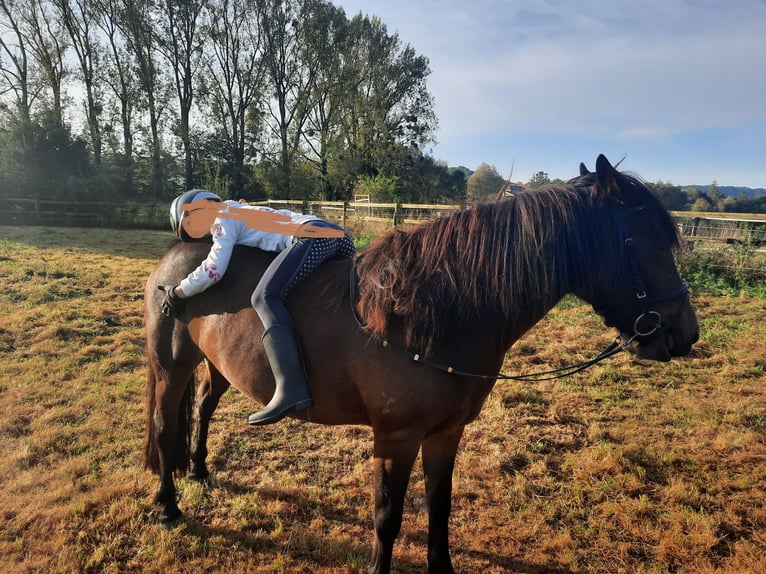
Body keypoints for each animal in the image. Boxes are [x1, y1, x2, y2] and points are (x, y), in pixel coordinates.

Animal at [143, 155, 699, 574]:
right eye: (644, 239)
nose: (686, 333)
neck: (434, 312)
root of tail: (174, 257)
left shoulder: (446, 433)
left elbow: (439, 505)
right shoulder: (396, 438)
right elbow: (387, 517)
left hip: (217, 366)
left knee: (204, 408)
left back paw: (199, 471)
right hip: (170, 366)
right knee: (166, 427)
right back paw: (168, 506)